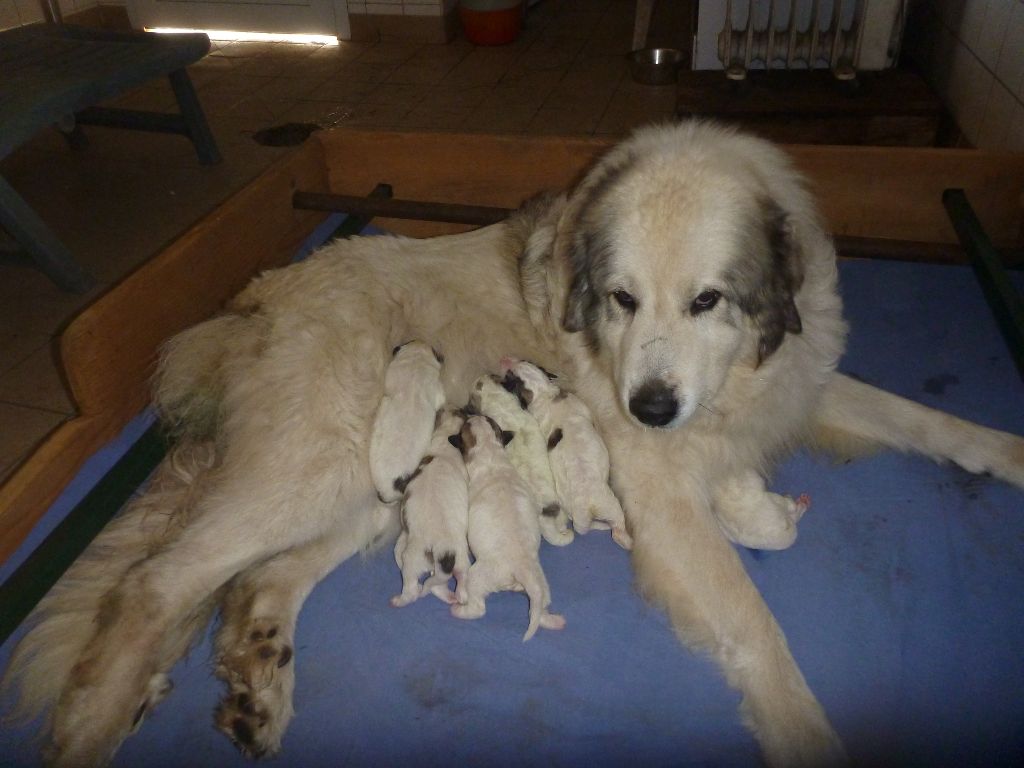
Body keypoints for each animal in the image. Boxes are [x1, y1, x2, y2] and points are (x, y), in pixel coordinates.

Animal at [391, 409, 471, 606]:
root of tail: (445, 552)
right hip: (461, 562)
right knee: (456, 585)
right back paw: (455, 596)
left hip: (412, 559)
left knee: (412, 590)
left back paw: (398, 600)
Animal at [497, 358, 630, 548]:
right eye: (510, 375)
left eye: (524, 361)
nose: (506, 360)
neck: (543, 392)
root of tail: (584, 509)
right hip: (610, 505)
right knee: (617, 528)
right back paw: (627, 539)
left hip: (576, 510)